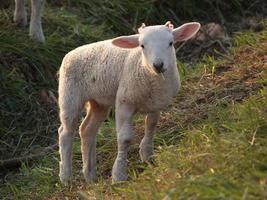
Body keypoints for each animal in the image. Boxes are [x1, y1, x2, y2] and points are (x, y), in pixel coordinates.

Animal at [58, 21, 201, 184]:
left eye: (171, 43)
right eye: (142, 46)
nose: (158, 65)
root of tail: (70, 53)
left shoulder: (155, 103)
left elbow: (151, 126)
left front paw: (147, 155)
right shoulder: (124, 102)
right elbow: (125, 139)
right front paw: (119, 175)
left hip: (99, 102)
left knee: (87, 130)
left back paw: (90, 175)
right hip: (69, 96)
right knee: (66, 133)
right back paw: (66, 177)